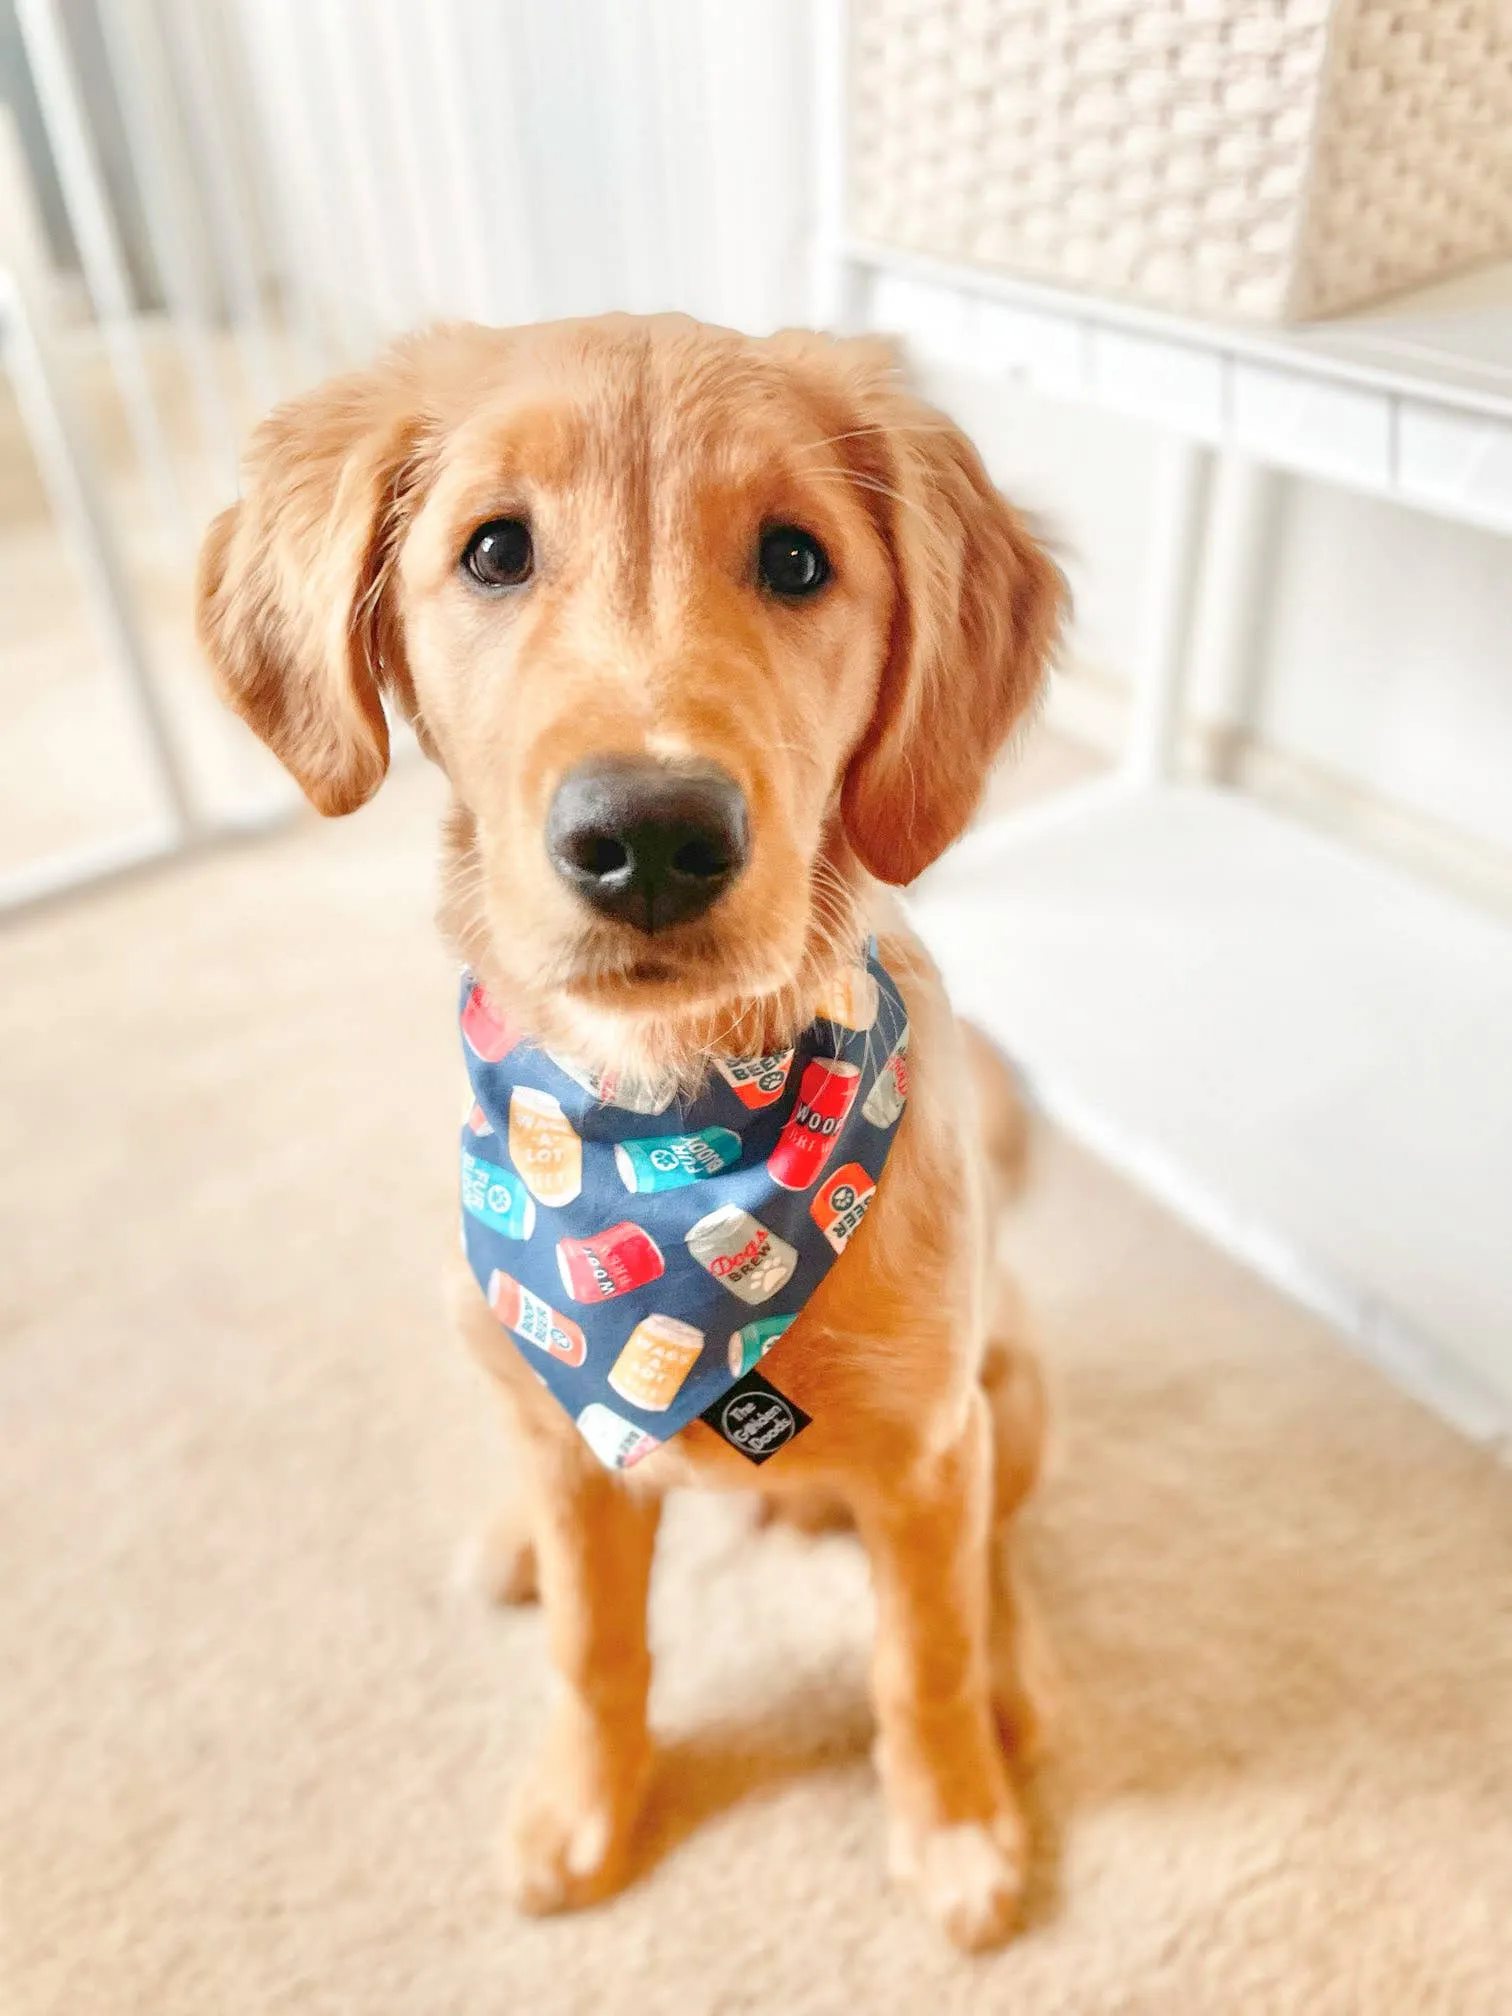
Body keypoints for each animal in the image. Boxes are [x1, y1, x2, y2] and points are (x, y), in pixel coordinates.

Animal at [195, 318, 1056, 1951]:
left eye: (795, 559)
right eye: (493, 551)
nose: (652, 838)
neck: (662, 1134)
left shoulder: (930, 1455)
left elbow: (921, 1655)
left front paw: (957, 1826)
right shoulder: (576, 1441)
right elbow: (595, 1651)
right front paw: (583, 1811)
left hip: (1014, 1397)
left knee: (995, 1561)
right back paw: (513, 1545)